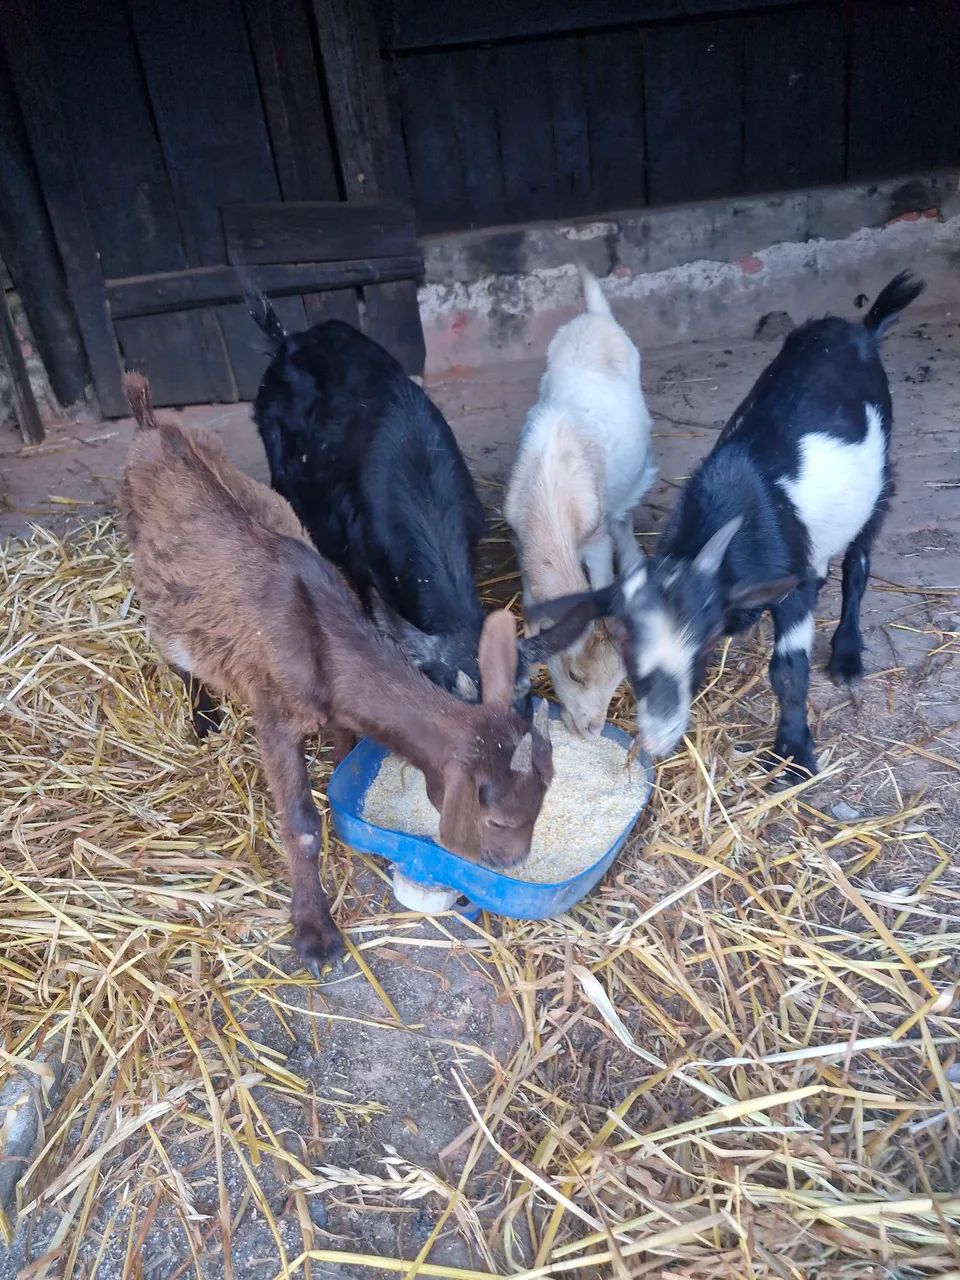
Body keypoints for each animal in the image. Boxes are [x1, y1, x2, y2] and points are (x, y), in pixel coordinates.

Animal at [120, 374, 583, 976]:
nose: (513, 862)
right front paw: (315, 934)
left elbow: (344, 759)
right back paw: (203, 717)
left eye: (541, 803)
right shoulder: (273, 716)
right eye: (498, 819)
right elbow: (300, 826)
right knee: (177, 655)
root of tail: (153, 428)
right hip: (158, 596)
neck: (321, 633)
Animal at [505, 264, 656, 738]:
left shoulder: (595, 536)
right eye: (574, 674)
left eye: (620, 677)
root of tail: (595, 315)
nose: (590, 730)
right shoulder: (520, 541)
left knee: (624, 514)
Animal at [529, 272, 925, 781]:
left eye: (701, 647)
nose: (655, 739)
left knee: (858, 562)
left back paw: (846, 655)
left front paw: (794, 754)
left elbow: (788, 669)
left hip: (881, 478)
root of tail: (858, 330)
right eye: (629, 656)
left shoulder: (792, 588)